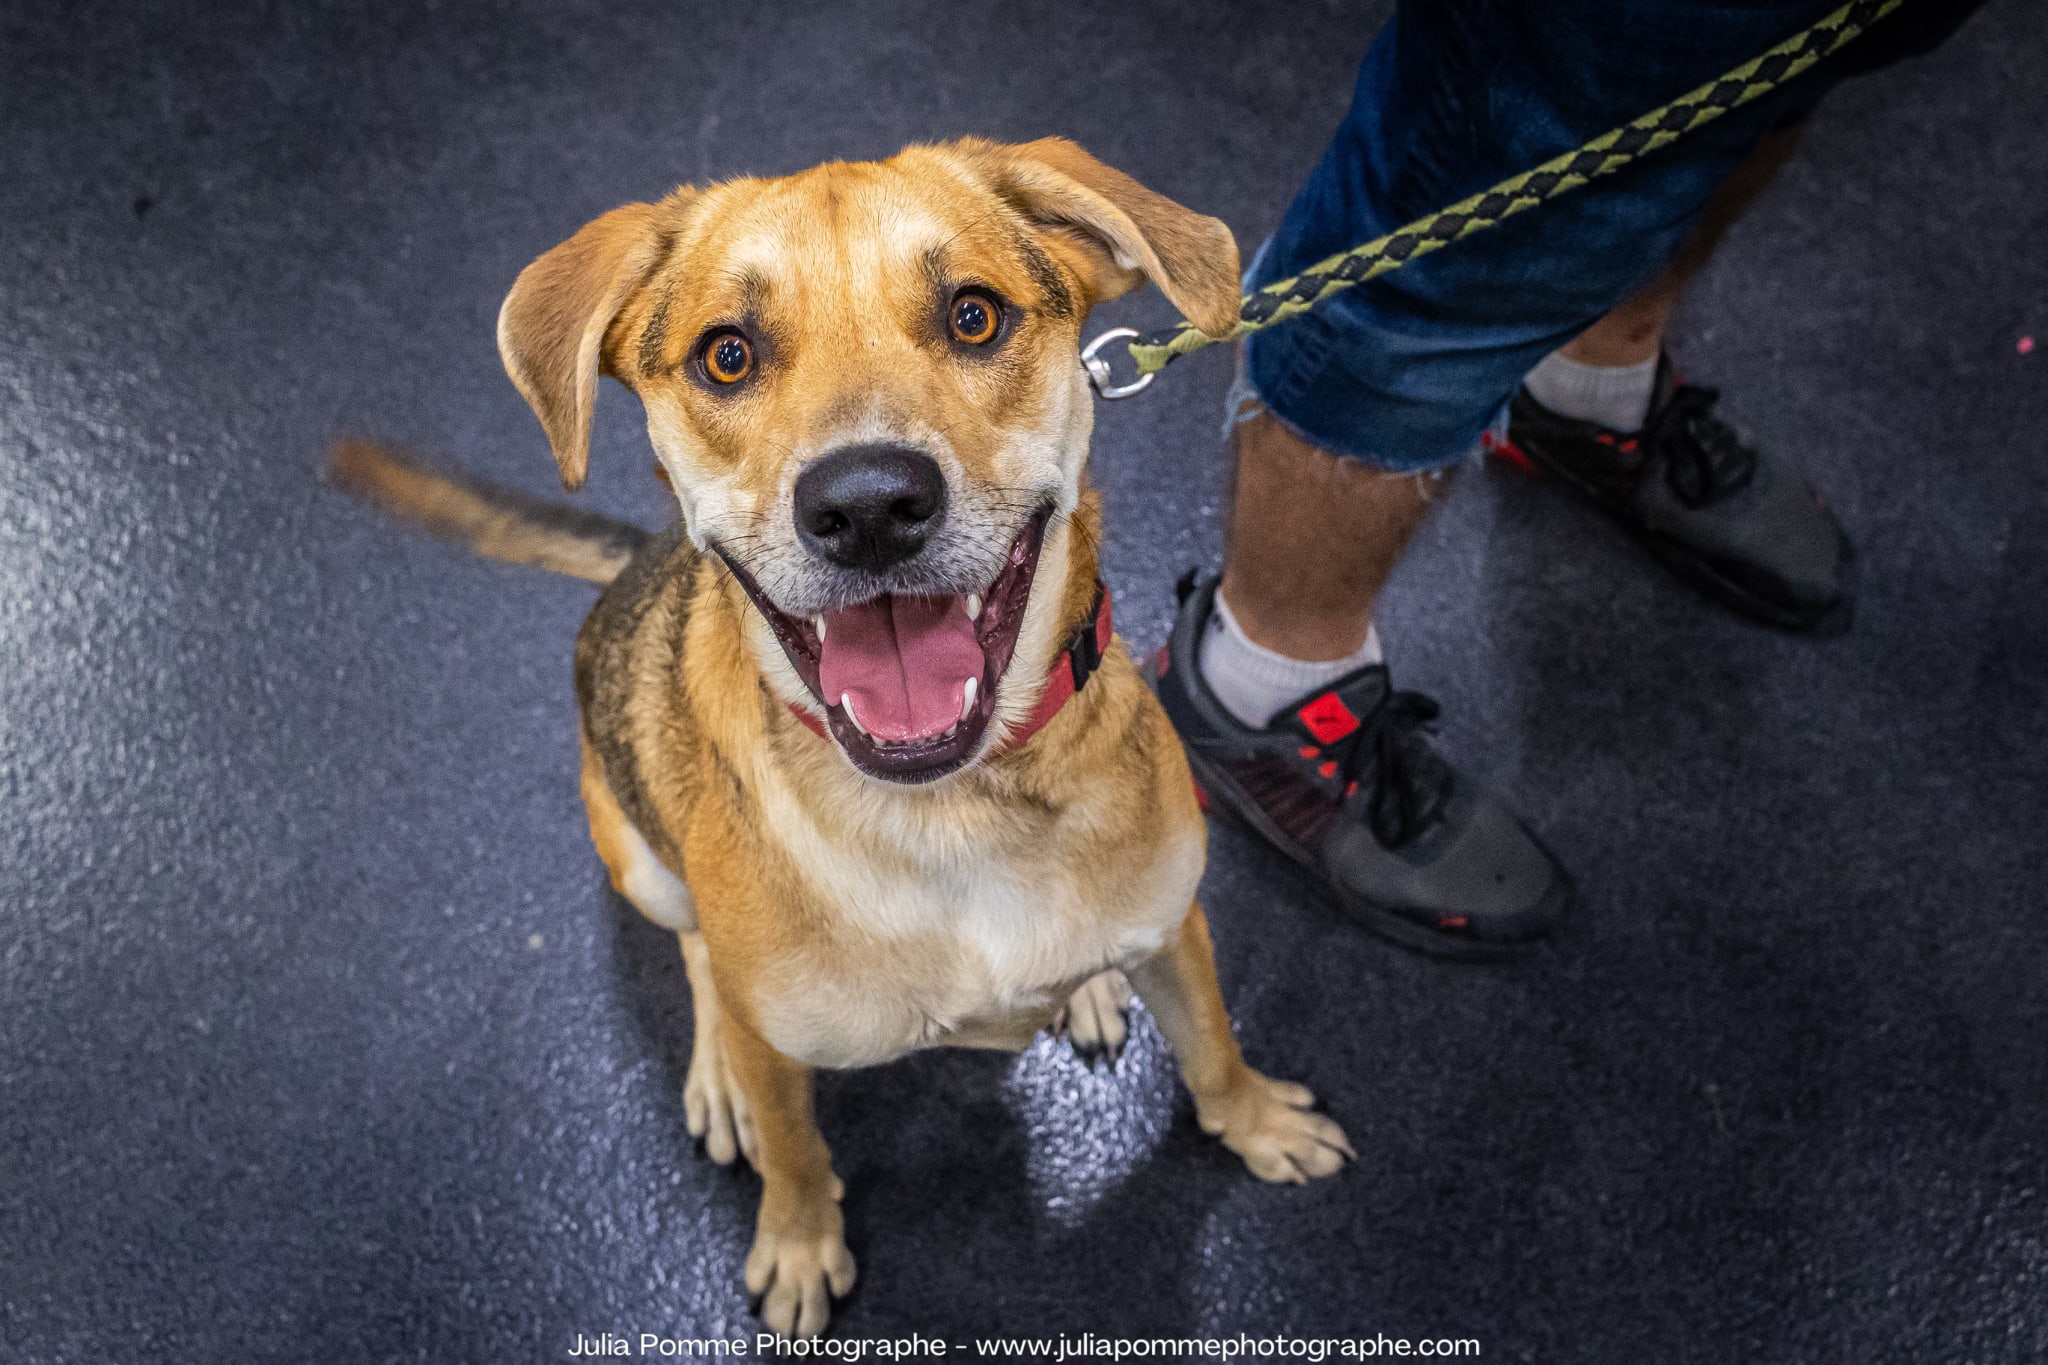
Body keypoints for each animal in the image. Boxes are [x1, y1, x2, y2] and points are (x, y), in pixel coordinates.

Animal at [331, 141, 1359, 1342]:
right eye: (727, 354)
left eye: (973, 316)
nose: (868, 506)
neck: (949, 809)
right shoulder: (777, 1035)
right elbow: (792, 1148)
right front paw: (796, 1241)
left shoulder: (1174, 924)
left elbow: (1212, 1045)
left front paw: (1256, 1123)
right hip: (636, 855)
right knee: (697, 958)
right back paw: (718, 1075)